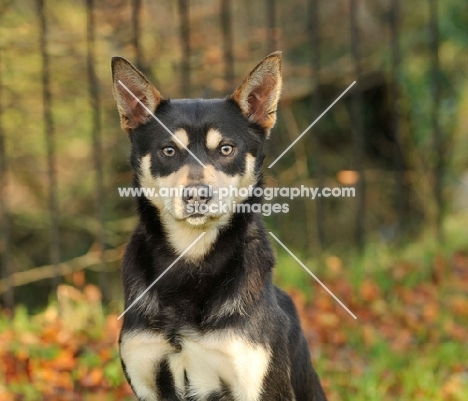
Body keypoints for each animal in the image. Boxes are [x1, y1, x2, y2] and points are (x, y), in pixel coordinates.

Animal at [111, 51, 328, 398]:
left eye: (226, 149)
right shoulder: (145, 371)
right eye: (168, 150)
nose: (197, 196)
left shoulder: (256, 379)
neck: (192, 258)